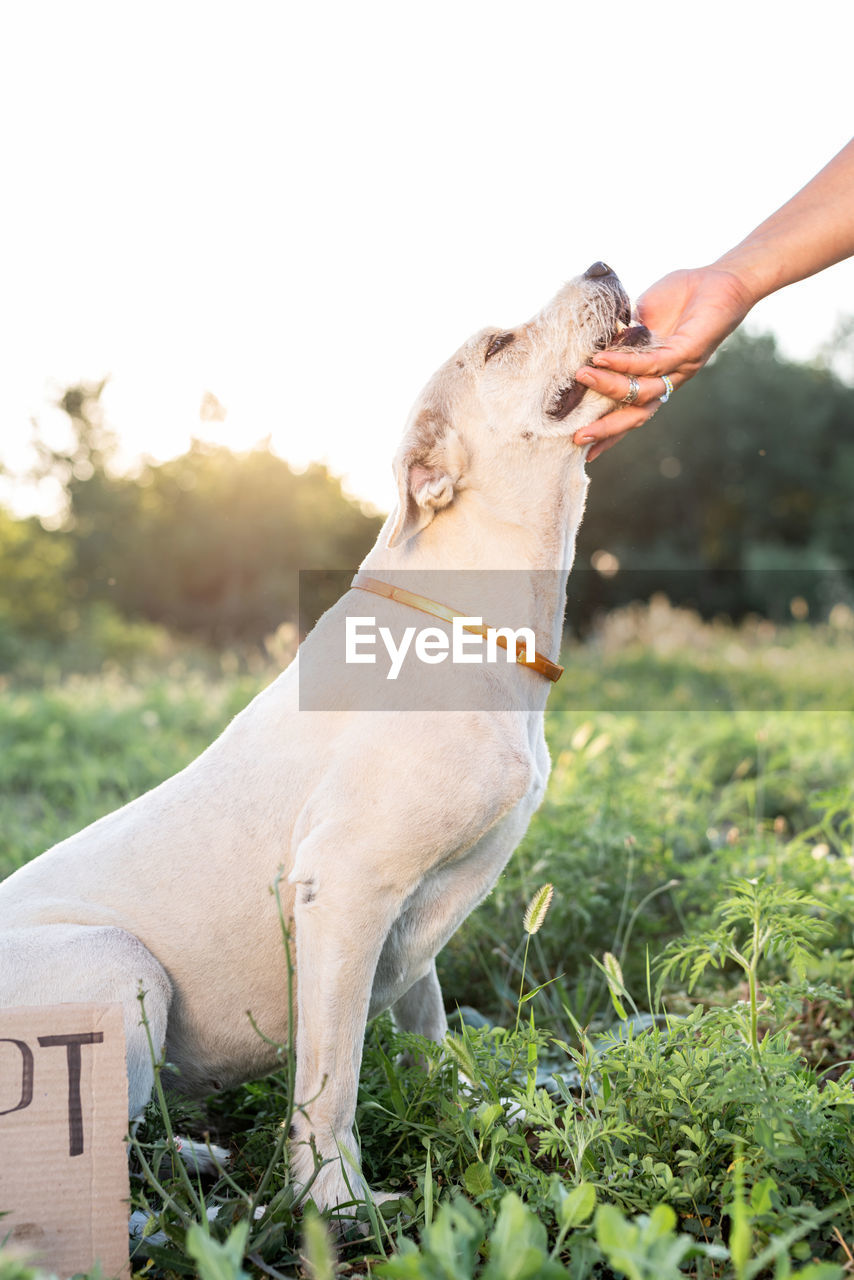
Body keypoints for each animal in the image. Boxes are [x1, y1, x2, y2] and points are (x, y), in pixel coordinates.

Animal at [0, 262, 647, 1208]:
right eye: (498, 344)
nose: (602, 265)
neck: (469, 620)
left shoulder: (409, 924)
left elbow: (430, 1026)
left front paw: (471, 1111)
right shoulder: (344, 888)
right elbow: (332, 1073)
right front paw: (338, 1203)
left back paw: (191, 1156)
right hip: (123, 966)